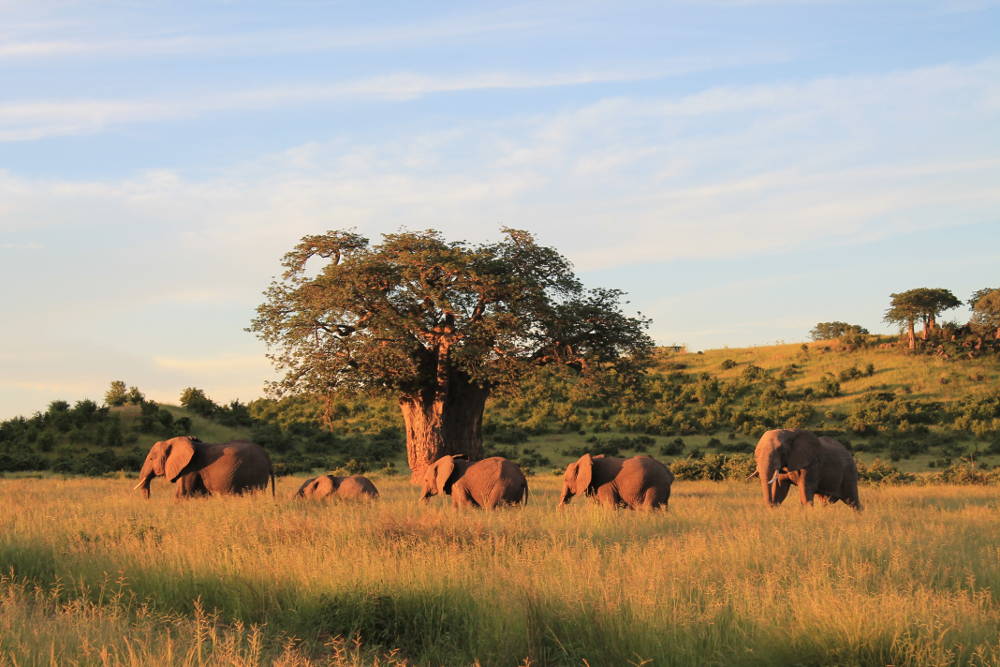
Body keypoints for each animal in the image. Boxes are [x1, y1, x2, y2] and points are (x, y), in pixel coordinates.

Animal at [133, 436, 276, 498]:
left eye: (151, 459)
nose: (148, 501)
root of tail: (267, 457)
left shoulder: (190, 468)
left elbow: (182, 494)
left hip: (255, 473)